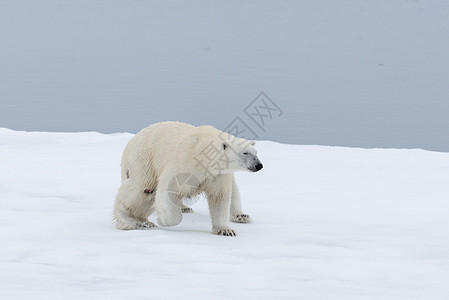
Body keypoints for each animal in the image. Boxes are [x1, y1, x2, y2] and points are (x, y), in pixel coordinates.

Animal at [112, 120, 264, 236]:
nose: (259, 165)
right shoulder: (184, 164)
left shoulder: (218, 175)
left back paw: (241, 216)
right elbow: (167, 188)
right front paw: (164, 220)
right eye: (245, 153)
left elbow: (219, 197)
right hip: (143, 161)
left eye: (256, 152)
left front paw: (225, 230)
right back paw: (132, 221)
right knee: (142, 190)